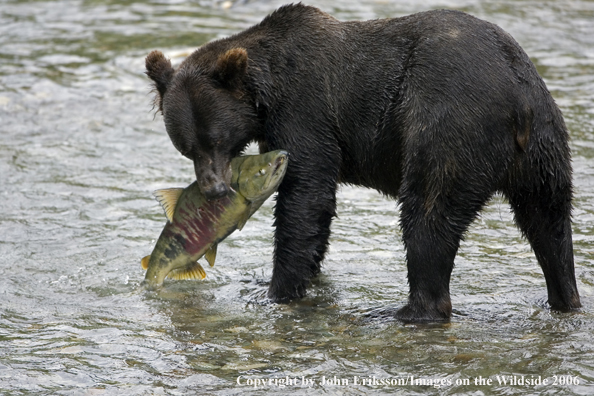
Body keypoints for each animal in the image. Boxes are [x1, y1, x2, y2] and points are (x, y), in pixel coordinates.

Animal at [143, 3, 580, 322]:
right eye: (187, 147)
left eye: (216, 139)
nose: (214, 189)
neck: (266, 95)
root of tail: (516, 97)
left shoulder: (306, 111)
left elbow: (305, 198)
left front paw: (277, 290)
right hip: (544, 145)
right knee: (549, 222)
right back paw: (564, 297)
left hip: (449, 128)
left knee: (427, 216)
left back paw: (408, 311)